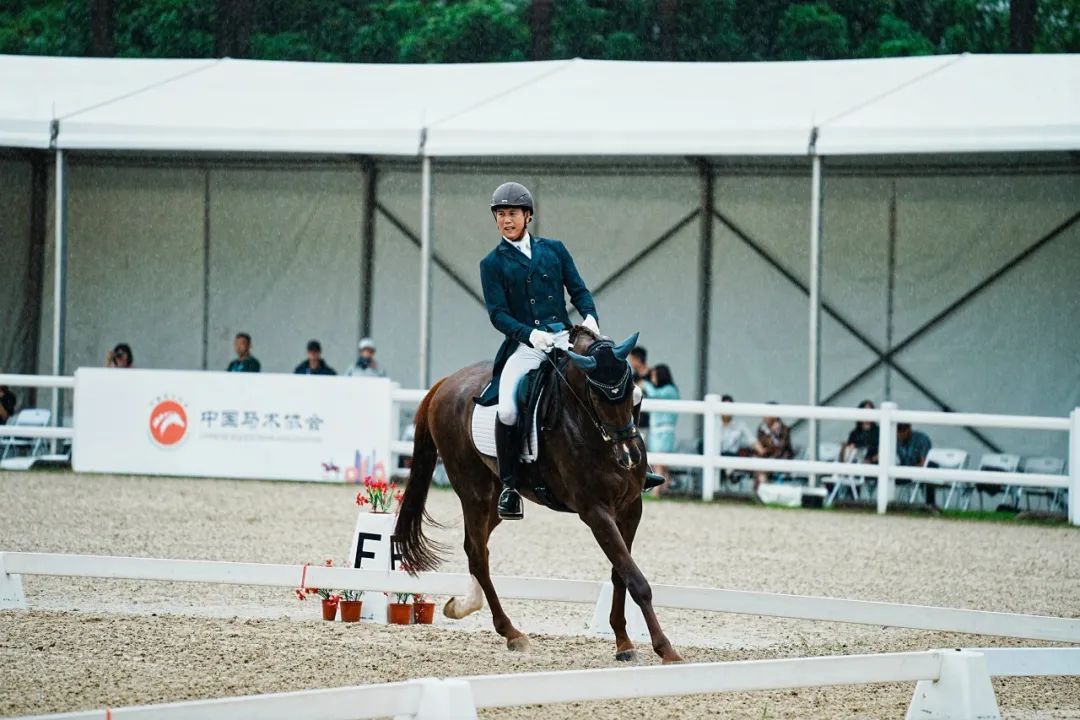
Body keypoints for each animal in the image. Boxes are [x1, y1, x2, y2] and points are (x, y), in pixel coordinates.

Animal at [397, 325, 682, 664]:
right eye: (596, 397)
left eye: (632, 394)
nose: (629, 457)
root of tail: (446, 382)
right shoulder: (595, 512)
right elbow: (636, 580)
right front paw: (666, 650)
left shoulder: (630, 508)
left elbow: (620, 573)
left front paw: (623, 643)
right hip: (473, 489)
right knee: (478, 555)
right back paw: (511, 633)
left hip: (496, 499)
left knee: (477, 548)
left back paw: (462, 605)